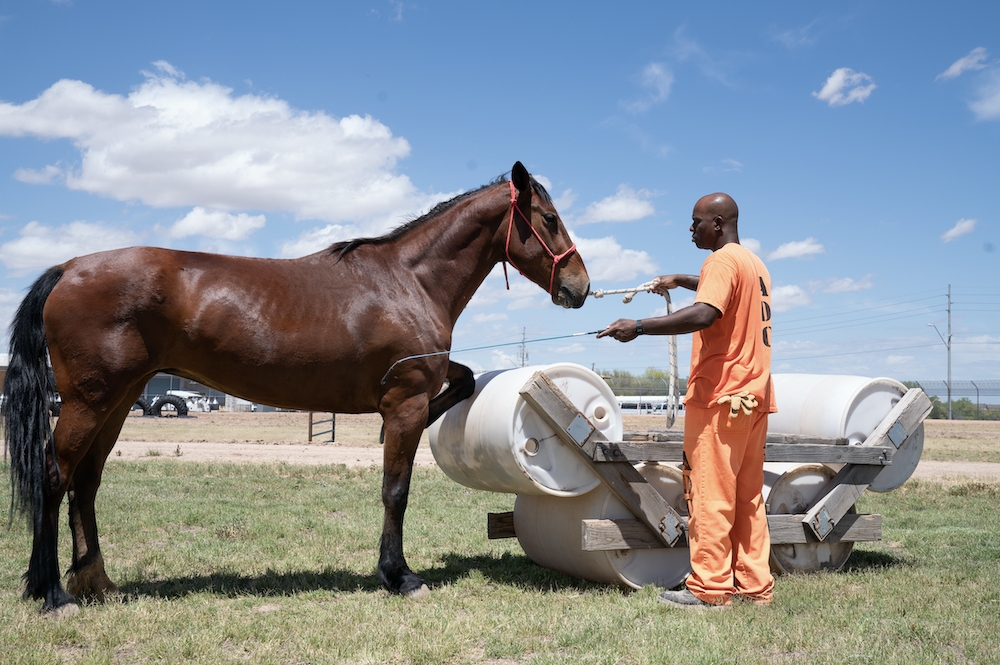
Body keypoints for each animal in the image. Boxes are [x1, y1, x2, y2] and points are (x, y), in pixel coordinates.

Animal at [1, 161, 590, 613]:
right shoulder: (405, 401)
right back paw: (53, 593)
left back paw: (96, 582)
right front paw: (399, 575)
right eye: (549, 219)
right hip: (90, 400)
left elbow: (463, 380)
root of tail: (67, 267)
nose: (580, 286)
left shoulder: (422, 385)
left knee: (85, 482)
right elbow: (395, 490)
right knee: (54, 477)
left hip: (120, 399)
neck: (407, 281)